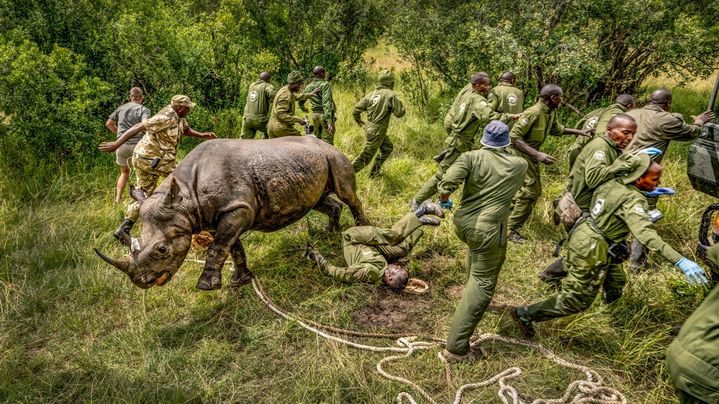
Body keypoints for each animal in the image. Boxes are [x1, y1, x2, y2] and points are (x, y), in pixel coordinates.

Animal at [95, 136, 370, 290]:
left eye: (161, 249)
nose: (142, 282)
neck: (184, 197)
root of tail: (323, 141)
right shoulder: (216, 217)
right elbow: (232, 247)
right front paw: (240, 280)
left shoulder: (237, 208)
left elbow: (218, 247)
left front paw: (206, 286)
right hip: (310, 161)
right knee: (320, 200)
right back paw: (330, 232)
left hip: (332, 155)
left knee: (347, 194)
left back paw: (361, 228)